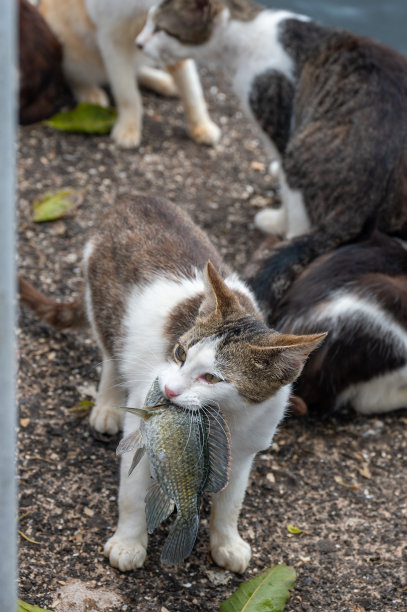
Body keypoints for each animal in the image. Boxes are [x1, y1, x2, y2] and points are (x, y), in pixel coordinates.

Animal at [19, 195, 326, 572]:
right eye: (179, 353)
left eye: (212, 377)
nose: (168, 390)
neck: (228, 417)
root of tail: (134, 198)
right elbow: (132, 495)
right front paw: (128, 541)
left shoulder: (244, 452)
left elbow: (230, 503)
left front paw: (227, 542)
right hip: (105, 307)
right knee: (111, 354)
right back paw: (107, 404)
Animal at [39, 0, 222, 147]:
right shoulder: (112, 37)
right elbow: (126, 91)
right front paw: (128, 128)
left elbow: (191, 88)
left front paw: (202, 126)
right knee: (72, 75)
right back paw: (89, 92)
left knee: (137, 70)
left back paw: (163, 82)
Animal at [136, 0, 407, 304]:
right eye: (147, 20)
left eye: (161, 28)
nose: (139, 43)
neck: (245, 34)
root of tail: (362, 203)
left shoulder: (275, 116)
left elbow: (279, 158)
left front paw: (276, 209)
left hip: (301, 153)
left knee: (298, 218)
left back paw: (276, 223)